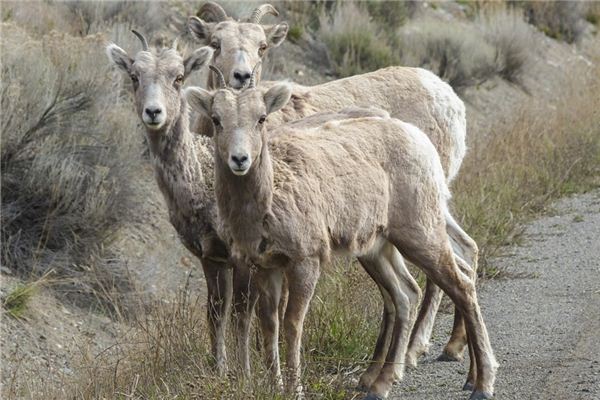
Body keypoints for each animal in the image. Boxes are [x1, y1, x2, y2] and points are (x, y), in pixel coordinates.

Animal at [188, 76, 496, 398]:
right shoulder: (266, 266)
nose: (240, 159)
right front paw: (275, 385)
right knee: (406, 294)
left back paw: (481, 383)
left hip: (421, 234)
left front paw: (294, 388)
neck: (266, 202)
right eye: (216, 119)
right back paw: (382, 384)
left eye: (261, 118)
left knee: (460, 287)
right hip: (378, 248)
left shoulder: (305, 261)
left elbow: (292, 324)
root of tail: (420, 140)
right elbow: (269, 323)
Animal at [190, 3, 476, 366]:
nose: (242, 78)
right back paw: (451, 346)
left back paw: (414, 350)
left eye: (262, 47)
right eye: (216, 44)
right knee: (465, 251)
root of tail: (448, 96)